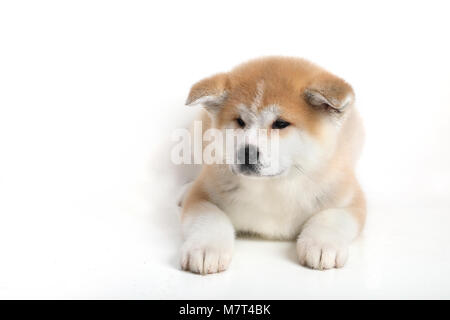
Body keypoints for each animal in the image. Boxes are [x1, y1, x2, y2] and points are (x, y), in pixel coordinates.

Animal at [179, 56, 366, 274]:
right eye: (240, 121)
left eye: (280, 124)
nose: (247, 153)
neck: (273, 187)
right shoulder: (204, 194)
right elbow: (209, 218)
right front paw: (206, 247)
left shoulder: (349, 198)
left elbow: (331, 216)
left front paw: (322, 243)